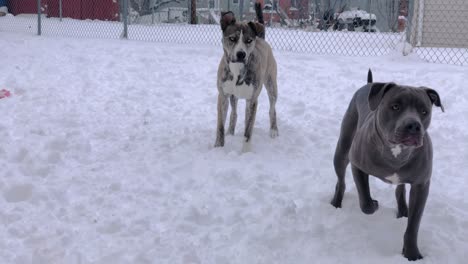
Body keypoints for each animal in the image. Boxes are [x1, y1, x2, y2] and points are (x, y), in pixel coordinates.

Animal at [215, 2, 278, 153]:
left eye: (248, 40)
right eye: (232, 38)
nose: (241, 54)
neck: (237, 69)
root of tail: (262, 39)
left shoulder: (253, 99)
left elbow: (248, 131)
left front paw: (245, 152)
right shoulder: (223, 96)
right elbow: (220, 126)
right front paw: (218, 147)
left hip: (271, 85)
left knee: (272, 108)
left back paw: (274, 130)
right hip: (234, 96)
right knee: (234, 113)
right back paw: (230, 132)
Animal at [330, 69, 444, 260]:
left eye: (424, 111)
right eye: (395, 106)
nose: (414, 125)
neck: (397, 153)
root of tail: (369, 84)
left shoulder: (421, 185)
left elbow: (413, 225)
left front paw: (412, 253)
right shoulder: (357, 166)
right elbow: (366, 203)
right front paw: (374, 203)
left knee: (400, 190)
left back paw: (403, 211)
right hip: (342, 150)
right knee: (341, 181)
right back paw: (336, 203)